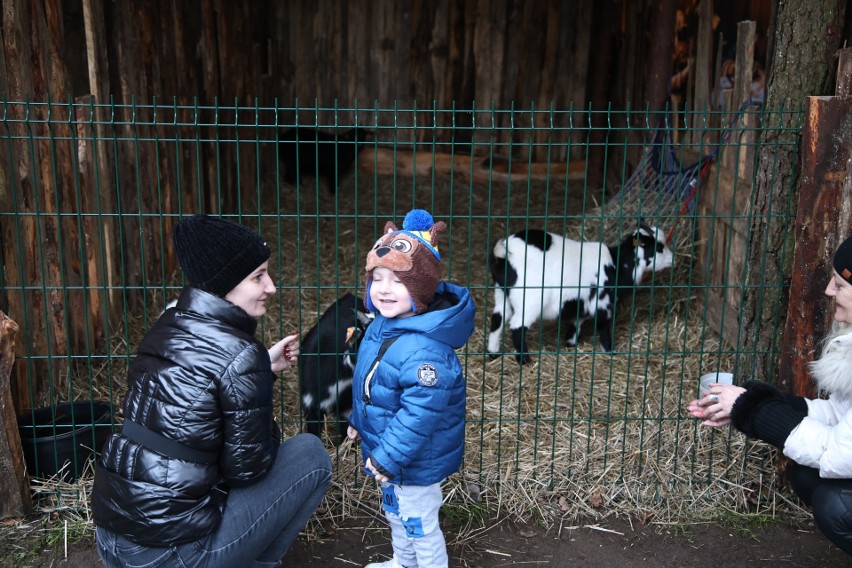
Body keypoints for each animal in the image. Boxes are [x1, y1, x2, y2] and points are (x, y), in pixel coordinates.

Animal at [490, 223, 676, 364]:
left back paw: (493, 354)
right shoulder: (602, 303)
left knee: (497, 319)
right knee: (517, 326)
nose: (673, 259)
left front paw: (571, 345)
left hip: (502, 293)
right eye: (659, 247)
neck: (617, 265)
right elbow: (603, 329)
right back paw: (524, 360)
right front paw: (610, 352)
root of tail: (506, 254)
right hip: (530, 298)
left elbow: (575, 326)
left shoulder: (581, 305)